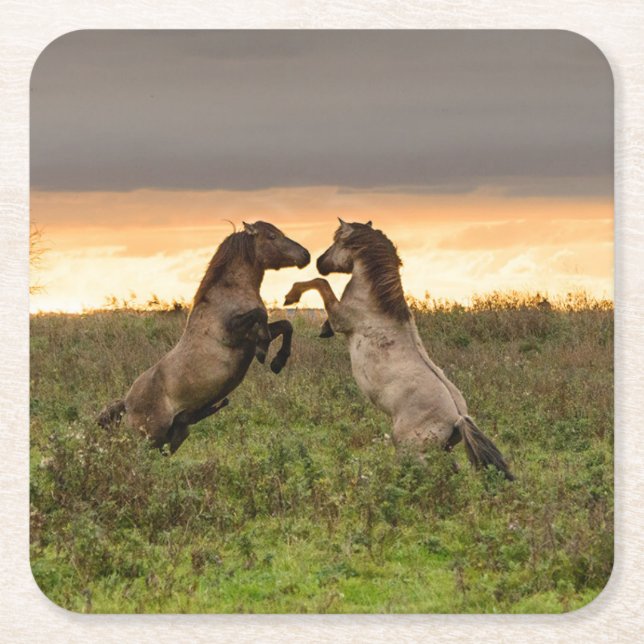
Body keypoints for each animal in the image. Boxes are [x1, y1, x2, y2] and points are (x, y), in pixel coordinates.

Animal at [98, 221, 310, 454]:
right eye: (272, 236)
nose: (306, 255)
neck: (229, 294)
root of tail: (126, 404)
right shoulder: (233, 333)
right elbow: (261, 316)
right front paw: (264, 352)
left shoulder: (250, 336)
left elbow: (286, 326)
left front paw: (277, 362)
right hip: (148, 438)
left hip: (175, 436)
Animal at [284, 219, 514, 480]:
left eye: (338, 241)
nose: (319, 262)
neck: (374, 303)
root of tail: (458, 418)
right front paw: (323, 328)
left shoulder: (342, 317)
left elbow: (321, 284)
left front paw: (291, 296)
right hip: (441, 449)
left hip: (410, 448)